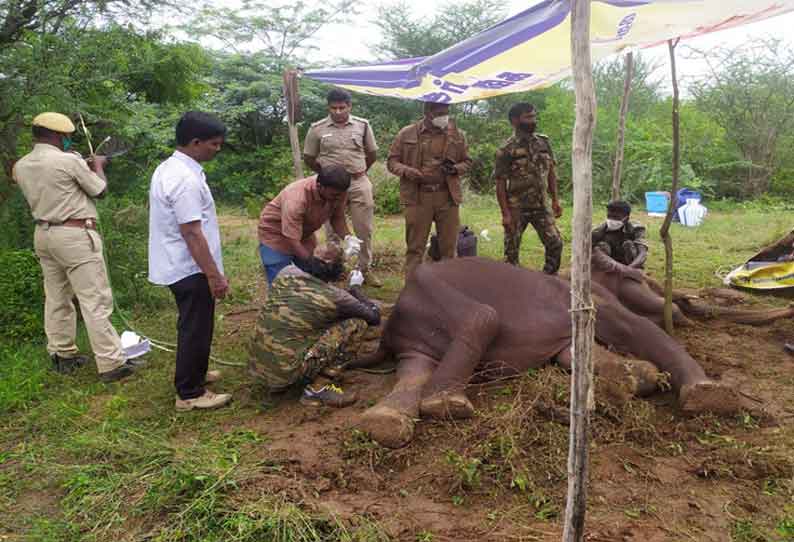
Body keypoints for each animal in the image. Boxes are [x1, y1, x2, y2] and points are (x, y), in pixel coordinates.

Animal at [354, 260, 792, 450]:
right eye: (639, 280)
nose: (681, 310)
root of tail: (389, 328)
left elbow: (573, 356)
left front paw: (637, 378)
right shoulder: (592, 302)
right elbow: (637, 328)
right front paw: (708, 396)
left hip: (417, 337)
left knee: (414, 366)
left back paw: (384, 423)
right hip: (439, 295)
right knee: (482, 317)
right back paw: (446, 405)